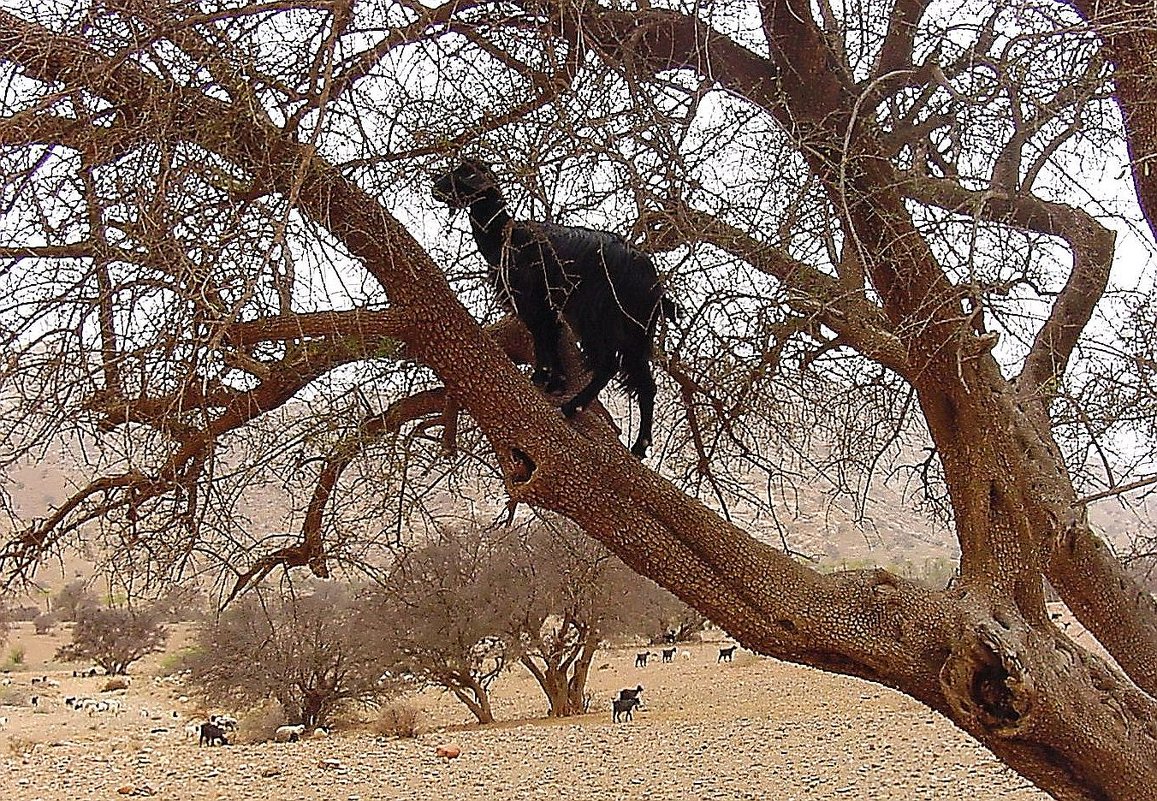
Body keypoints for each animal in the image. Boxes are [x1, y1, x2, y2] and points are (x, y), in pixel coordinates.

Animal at [430, 160, 675, 456]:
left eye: (463, 173)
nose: (435, 187)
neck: (506, 237)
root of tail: (652, 282)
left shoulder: (532, 301)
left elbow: (541, 339)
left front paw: (542, 379)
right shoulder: (549, 307)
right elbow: (550, 338)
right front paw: (556, 382)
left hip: (598, 316)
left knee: (608, 364)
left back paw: (572, 408)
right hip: (636, 330)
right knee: (646, 384)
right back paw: (640, 446)